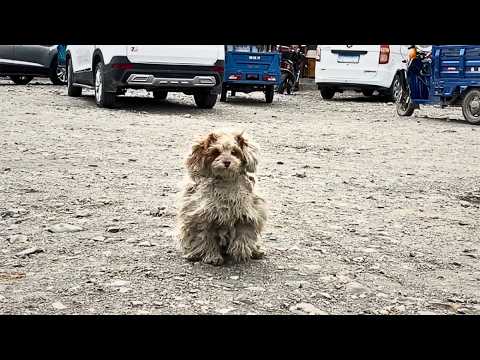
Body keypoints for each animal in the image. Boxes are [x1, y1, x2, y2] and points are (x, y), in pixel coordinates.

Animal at [176, 129, 268, 264]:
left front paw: (241, 252)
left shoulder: (247, 214)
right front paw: (212, 257)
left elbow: (244, 234)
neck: (226, 181)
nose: (227, 162)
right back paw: (193, 254)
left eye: (234, 152)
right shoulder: (203, 218)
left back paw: (256, 251)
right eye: (216, 152)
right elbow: (207, 238)